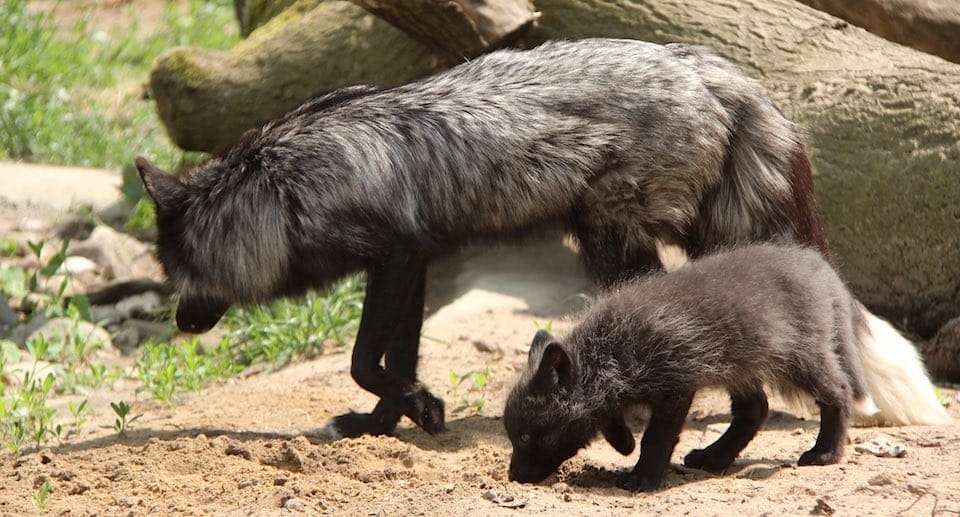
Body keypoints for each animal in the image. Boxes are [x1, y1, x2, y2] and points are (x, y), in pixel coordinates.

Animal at [135, 38, 944, 438]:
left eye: (177, 273)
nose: (182, 323)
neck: (284, 185)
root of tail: (721, 74)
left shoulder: (395, 252)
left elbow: (366, 359)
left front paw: (418, 407)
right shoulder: (413, 260)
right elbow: (390, 357)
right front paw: (390, 421)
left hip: (610, 236)